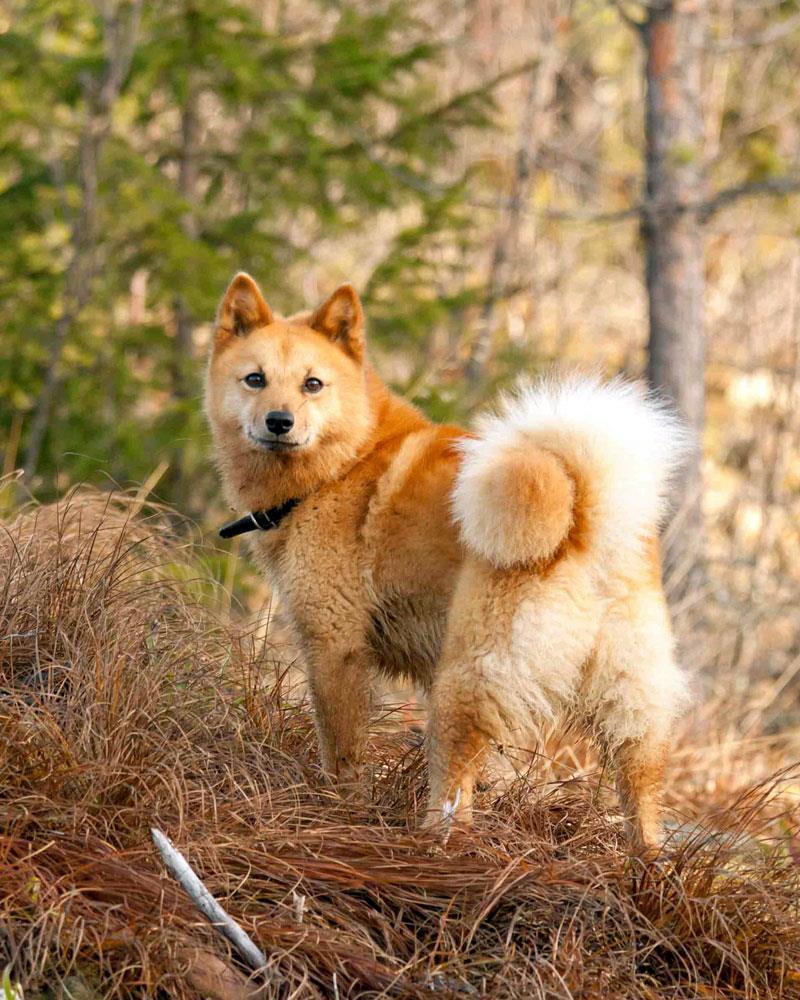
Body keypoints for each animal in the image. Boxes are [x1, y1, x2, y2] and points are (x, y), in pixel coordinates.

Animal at [206, 274, 688, 852]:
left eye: (312, 384)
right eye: (254, 379)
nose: (280, 421)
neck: (345, 463)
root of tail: (582, 517)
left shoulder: (334, 646)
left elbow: (341, 751)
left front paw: (334, 810)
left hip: (463, 684)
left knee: (457, 797)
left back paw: (432, 844)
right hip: (631, 703)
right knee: (642, 795)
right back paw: (646, 866)